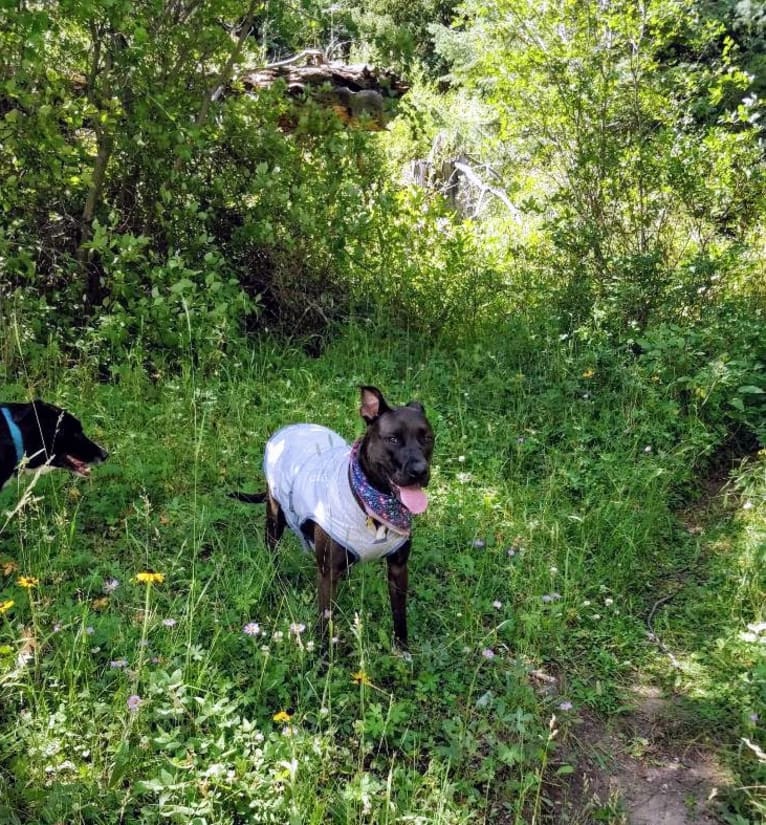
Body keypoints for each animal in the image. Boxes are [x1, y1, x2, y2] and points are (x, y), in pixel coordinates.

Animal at [231, 386, 436, 652]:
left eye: (427, 438)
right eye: (393, 439)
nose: (420, 471)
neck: (372, 503)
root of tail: (293, 427)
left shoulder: (399, 568)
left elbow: (399, 616)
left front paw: (402, 651)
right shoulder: (327, 575)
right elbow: (326, 622)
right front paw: (323, 659)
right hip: (275, 517)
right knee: (272, 553)